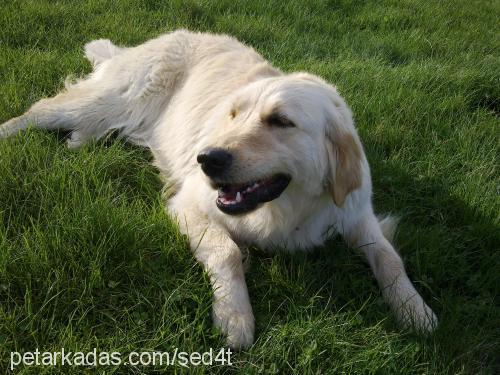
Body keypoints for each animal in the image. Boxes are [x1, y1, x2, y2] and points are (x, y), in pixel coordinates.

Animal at [0, 30, 438, 350]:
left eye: (281, 121)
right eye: (233, 115)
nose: (206, 159)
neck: (287, 211)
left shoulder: (355, 213)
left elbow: (389, 258)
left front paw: (413, 308)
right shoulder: (189, 203)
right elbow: (226, 250)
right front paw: (235, 317)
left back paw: (79, 141)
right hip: (99, 101)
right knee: (35, 113)